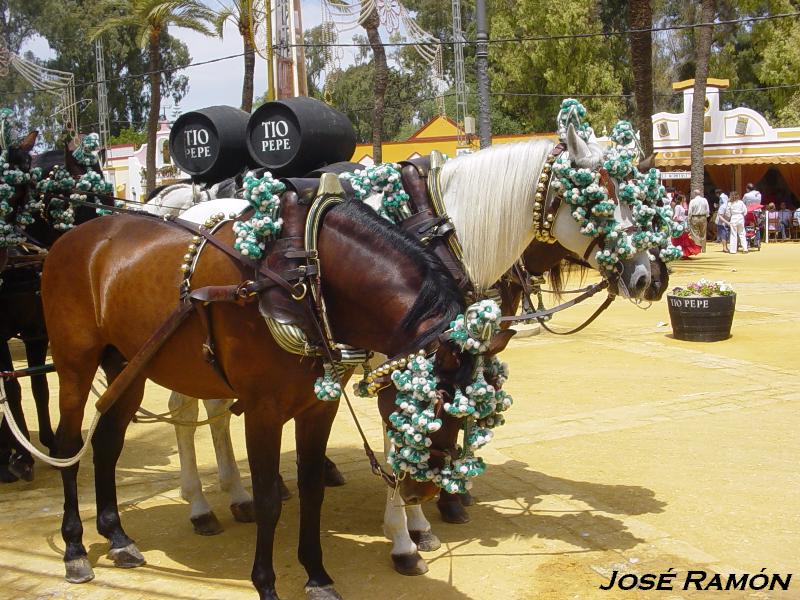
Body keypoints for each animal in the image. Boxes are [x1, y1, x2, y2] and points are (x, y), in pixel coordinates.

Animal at [39, 196, 506, 596]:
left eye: (472, 410)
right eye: (437, 400)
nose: (422, 492)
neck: (303, 277)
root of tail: (72, 237)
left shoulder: (319, 408)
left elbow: (312, 490)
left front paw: (317, 575)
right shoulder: (262, 411)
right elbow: (267, 499)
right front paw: (266, 583)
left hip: (129, 366)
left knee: (107, 444)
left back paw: (117, 536)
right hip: (75, 363)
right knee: (68, 446)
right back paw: (76, 548)